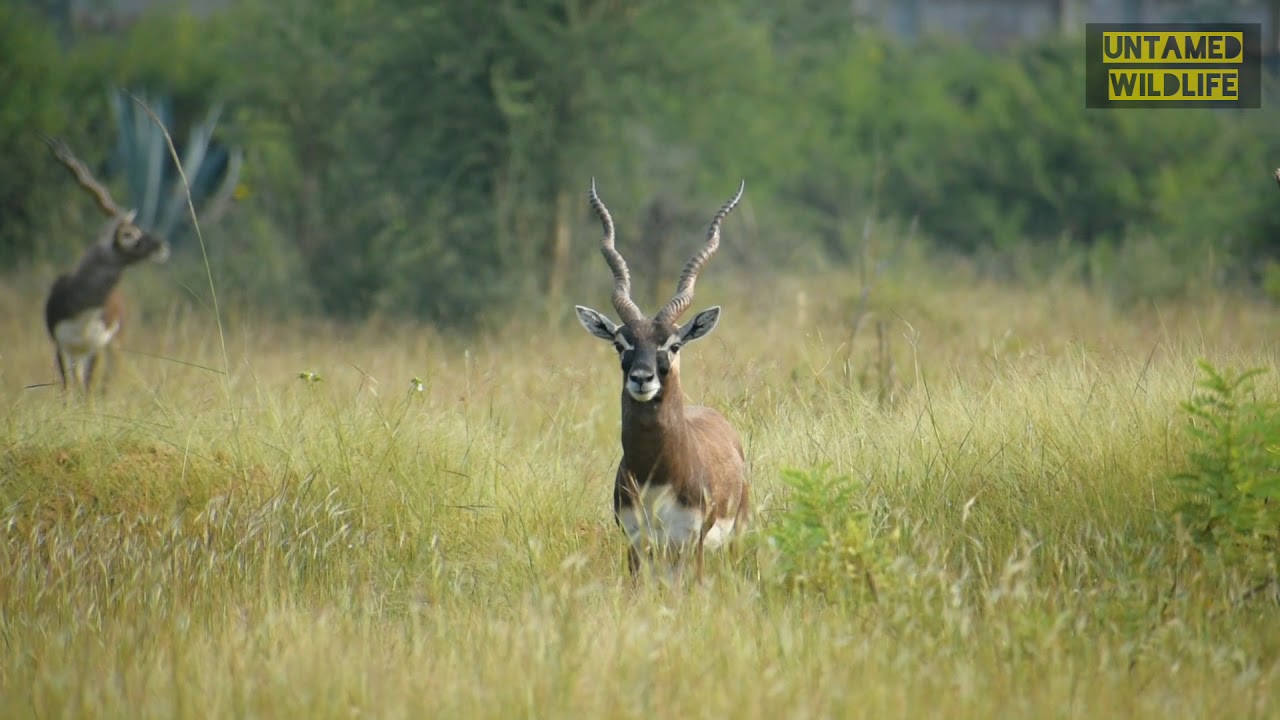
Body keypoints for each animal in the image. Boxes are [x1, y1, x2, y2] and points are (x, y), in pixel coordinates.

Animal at [42, 136, 170, 393]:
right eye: (128, 233)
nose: (162, 245)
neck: (81, 308)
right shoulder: (61, 346)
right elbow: (69, 390)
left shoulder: (97, 346)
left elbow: (89, 391)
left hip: (113, 346)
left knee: (107, 381)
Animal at [575, 179, 750, 583]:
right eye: (621, 343)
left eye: (673, 344)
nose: (642, 378)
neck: (656, 476)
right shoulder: (635, 542)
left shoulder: (691, 542)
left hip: (733, 537)